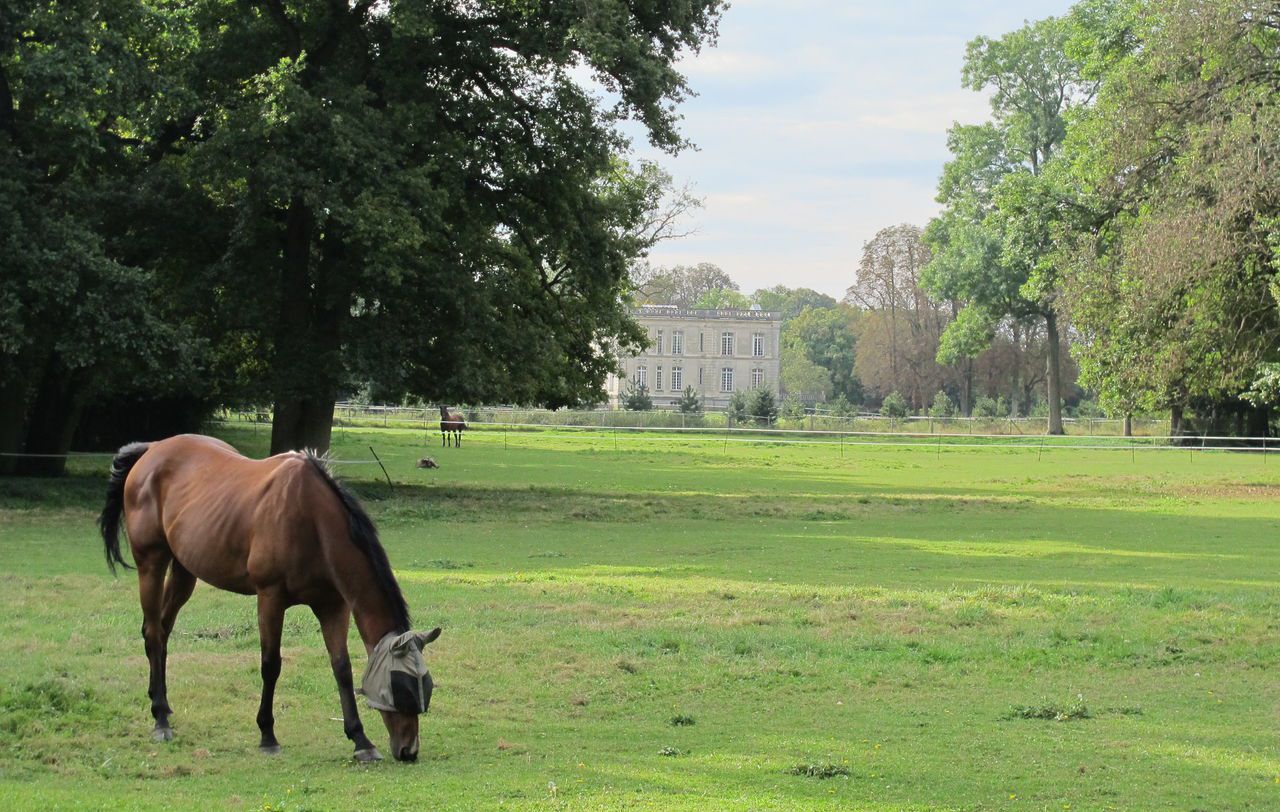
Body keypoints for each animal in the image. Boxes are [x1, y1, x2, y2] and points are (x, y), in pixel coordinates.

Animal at [99, 432, 442, 763]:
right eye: (401, 686)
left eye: (426, 686)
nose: (409, 750)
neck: (311, 518)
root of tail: (152, 449)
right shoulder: (270, 598)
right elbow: (270, 664)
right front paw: (267, 735)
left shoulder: (333, 605)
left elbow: (341, 668)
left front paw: (360, 740)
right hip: (151, 564)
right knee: (154, 633)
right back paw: (160, 718)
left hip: (185, 571)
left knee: (163, 630)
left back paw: (163, 703)